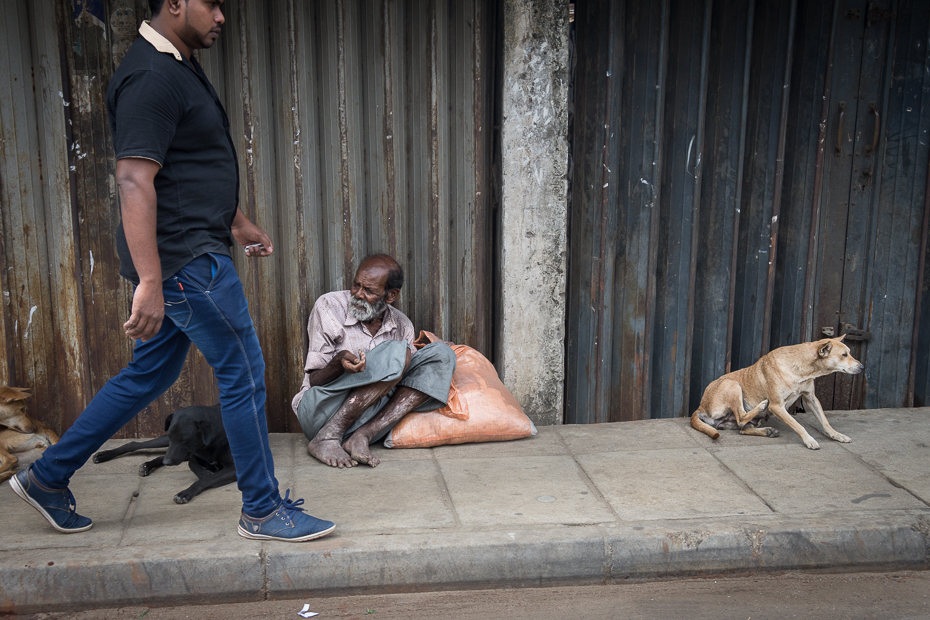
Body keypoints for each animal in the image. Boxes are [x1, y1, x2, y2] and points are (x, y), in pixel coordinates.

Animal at [93, 406, 236, 504]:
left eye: (184, 440)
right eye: (171, 436)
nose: (167, 462)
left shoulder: (233, 469)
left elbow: (204, 478)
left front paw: (186, 492)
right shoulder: (192, 453)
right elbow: (193, 464)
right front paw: (205, 473)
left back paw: (148, 465)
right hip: (166, 444)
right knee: (134, 444)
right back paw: (103, 455)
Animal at [688, 336, 864, 448]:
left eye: (849, 353)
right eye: (844, 355)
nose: (862, 367)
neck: (801, 368)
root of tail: (700, 408)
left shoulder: (811, 397)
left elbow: (825, 422)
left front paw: (837, 435)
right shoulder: (777, 406)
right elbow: (798, 425)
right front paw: (809, 440)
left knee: (742, 427)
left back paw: (766, 431)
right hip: (731, 383)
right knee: (742, 416)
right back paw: (760, 407)